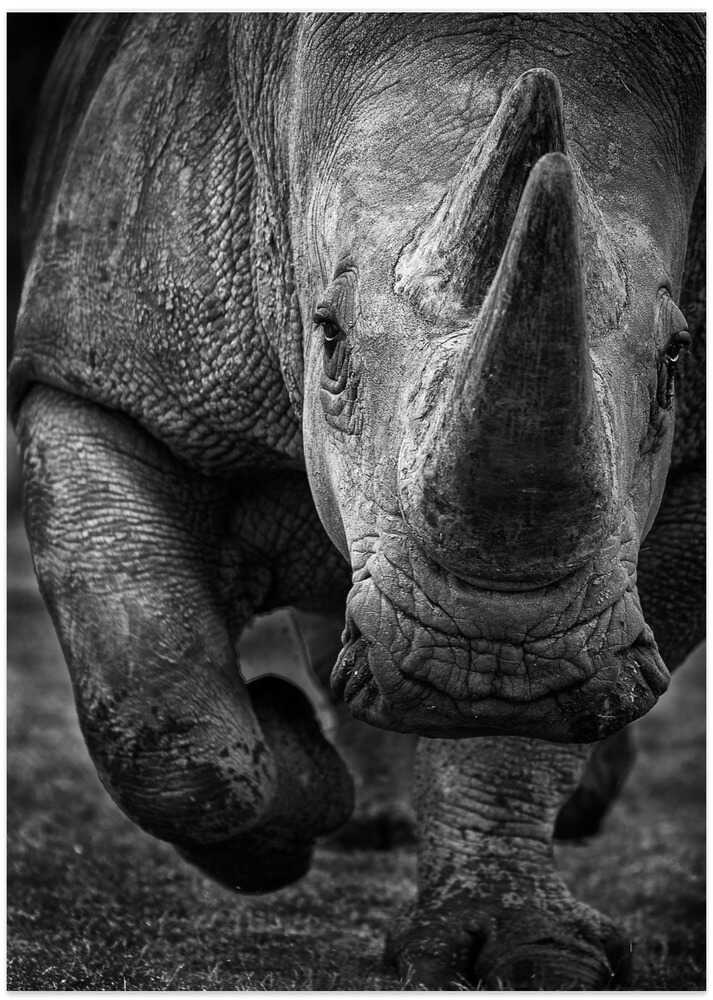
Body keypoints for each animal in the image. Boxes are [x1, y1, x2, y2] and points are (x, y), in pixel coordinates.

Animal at [10, 12, 705, 989]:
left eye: (677, 358)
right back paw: (358, 811)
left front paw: (524, 949)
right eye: (329, 338)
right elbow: (162, 714)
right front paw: (297, 774)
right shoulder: (98, 374)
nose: (494, 659)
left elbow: (522, 742)